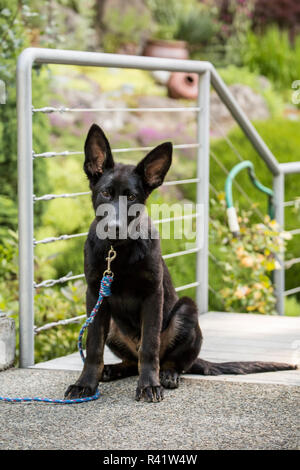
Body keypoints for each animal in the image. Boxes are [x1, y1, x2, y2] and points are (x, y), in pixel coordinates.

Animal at [64, 125, 296, 404]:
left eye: (132, 197)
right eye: (106, 193)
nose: (114, 228)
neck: (118, 251)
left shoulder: (153, 295)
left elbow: (150, 347)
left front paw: (149, 385)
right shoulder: (95, 295)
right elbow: (93, 347)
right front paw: (86, 383)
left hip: (186, 311)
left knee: (170, 361)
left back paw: (167, 375)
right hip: (113, 325)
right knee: (132, 362)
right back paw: (112, 370)